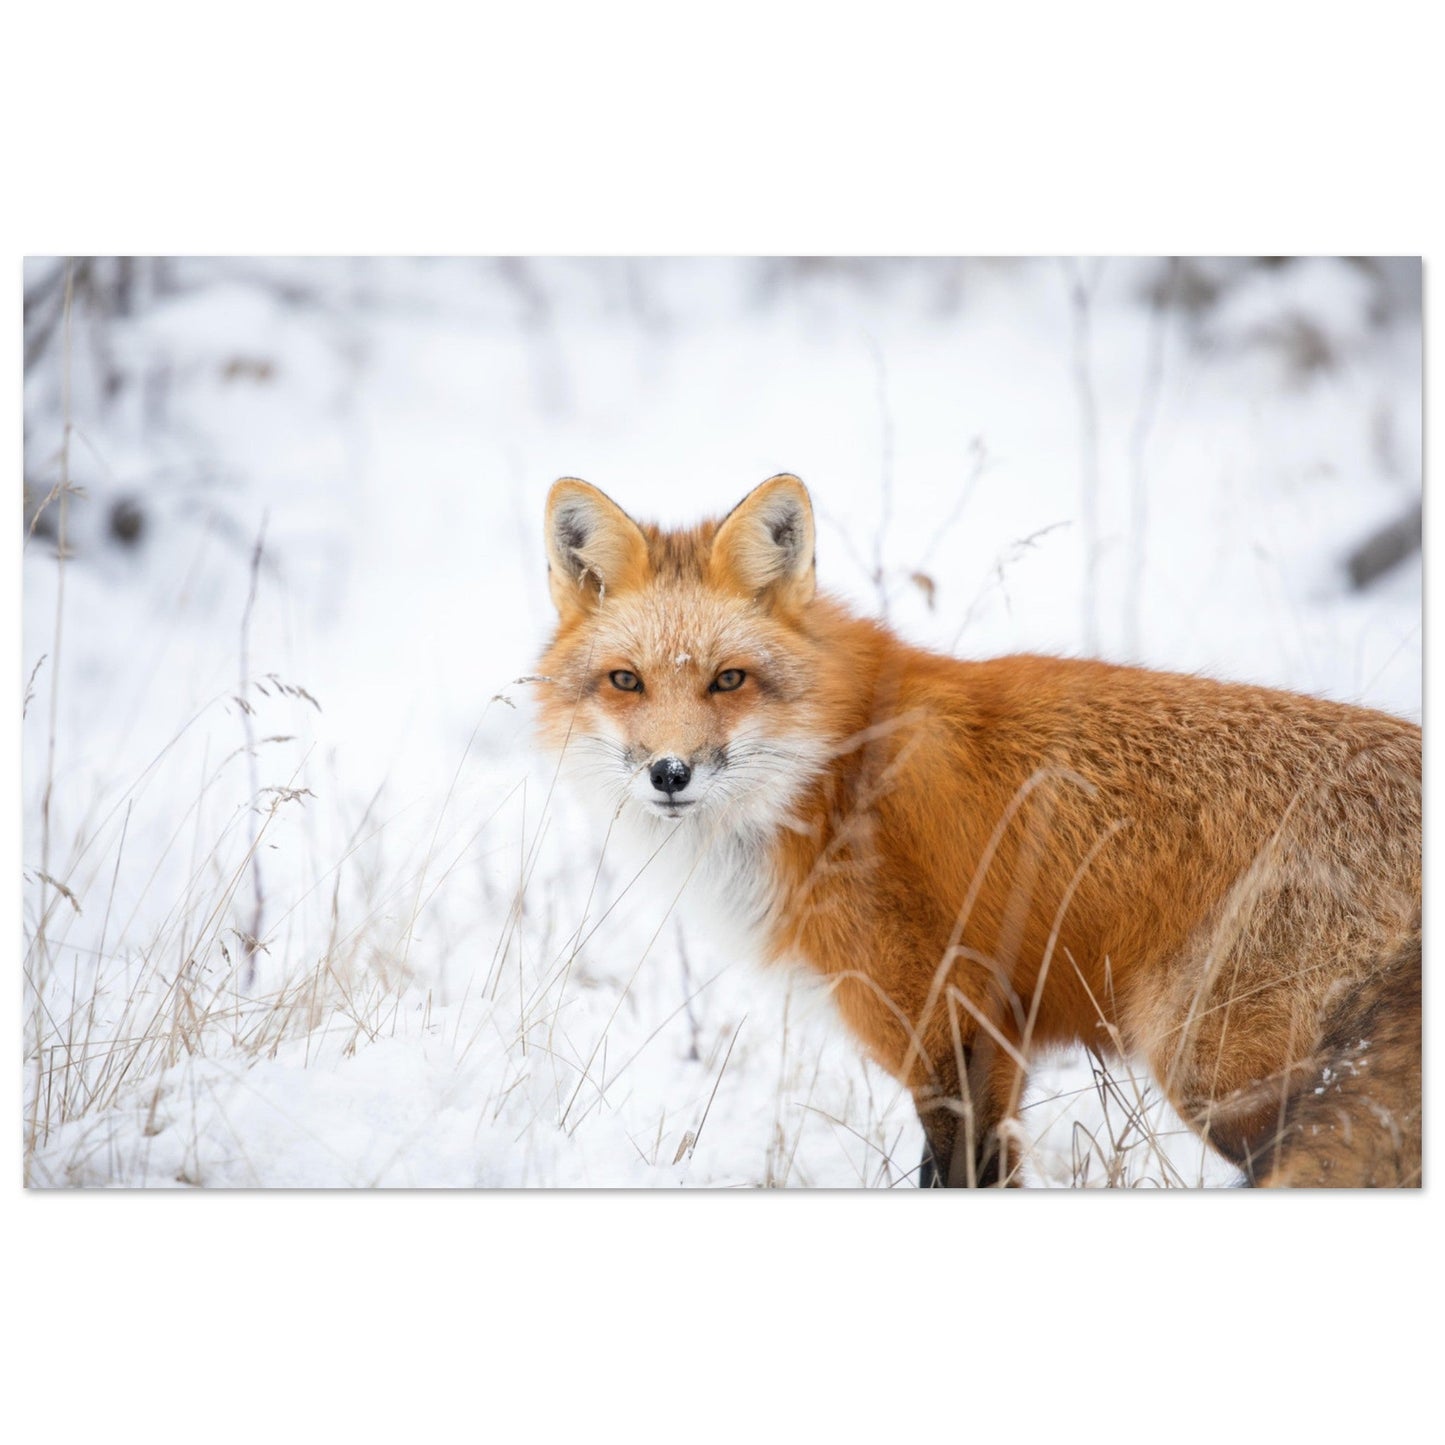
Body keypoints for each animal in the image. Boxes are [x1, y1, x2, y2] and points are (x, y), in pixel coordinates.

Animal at [540, 473, 1421, 1184]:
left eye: (728, 679)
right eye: (625, 680)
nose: (669, 773)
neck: (834, 770)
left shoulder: (946, 1022)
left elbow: (956, 1176)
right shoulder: (996, 1037)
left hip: (1215, 1071)